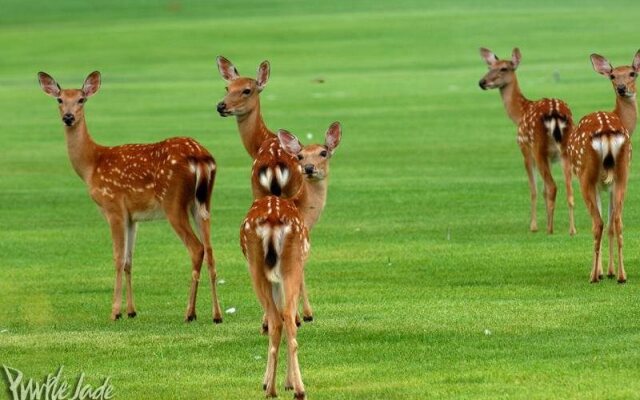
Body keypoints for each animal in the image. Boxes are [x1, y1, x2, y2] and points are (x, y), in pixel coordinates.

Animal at [37, 71, 224, 322]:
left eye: (81, 100)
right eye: (59, 99)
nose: (68, 117)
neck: (91, 165)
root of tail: (201, 157)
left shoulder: (113, 206)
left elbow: (117, 258)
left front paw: (115, 311)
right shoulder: (132, 217)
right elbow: (128, 261)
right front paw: (131, 311)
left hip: (173, 202)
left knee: (197, 248)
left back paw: (190, 313)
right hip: (203, 203)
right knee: (211, 250)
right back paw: (217, 314)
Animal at [240, 130, 310, 398]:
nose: (310, 169)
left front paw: (271, 382)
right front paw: (287, 382)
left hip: (258, 269)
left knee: (278, 320)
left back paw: (270, 388)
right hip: (288, 268)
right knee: (288, 318)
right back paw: (298, 388)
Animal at [478, 47, 576, 234]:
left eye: (503, 68)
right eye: (489, 67)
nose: (482, 82)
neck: (519, 113)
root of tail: (555, 114)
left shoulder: (524, 149)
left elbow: (534, 190)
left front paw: (533, 226)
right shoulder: (551, 158)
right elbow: (543, 190)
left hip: (538, 147)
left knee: (553, 186)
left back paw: (550, 230)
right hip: (565, 151)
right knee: (570, 189)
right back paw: (572, 230)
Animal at [568, 51, 640, 282]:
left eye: (633, 73)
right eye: (613, 76)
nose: (622, 88)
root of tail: (608, 131)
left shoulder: (599, 184)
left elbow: (603, 222)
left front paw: (601, 271)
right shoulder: (608, 184)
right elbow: (611, 225)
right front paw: (610, 271)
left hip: (586, 175)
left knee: (597, 223)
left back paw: (593, 276)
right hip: (623, 173)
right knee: (617, 221)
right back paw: (622, 276)